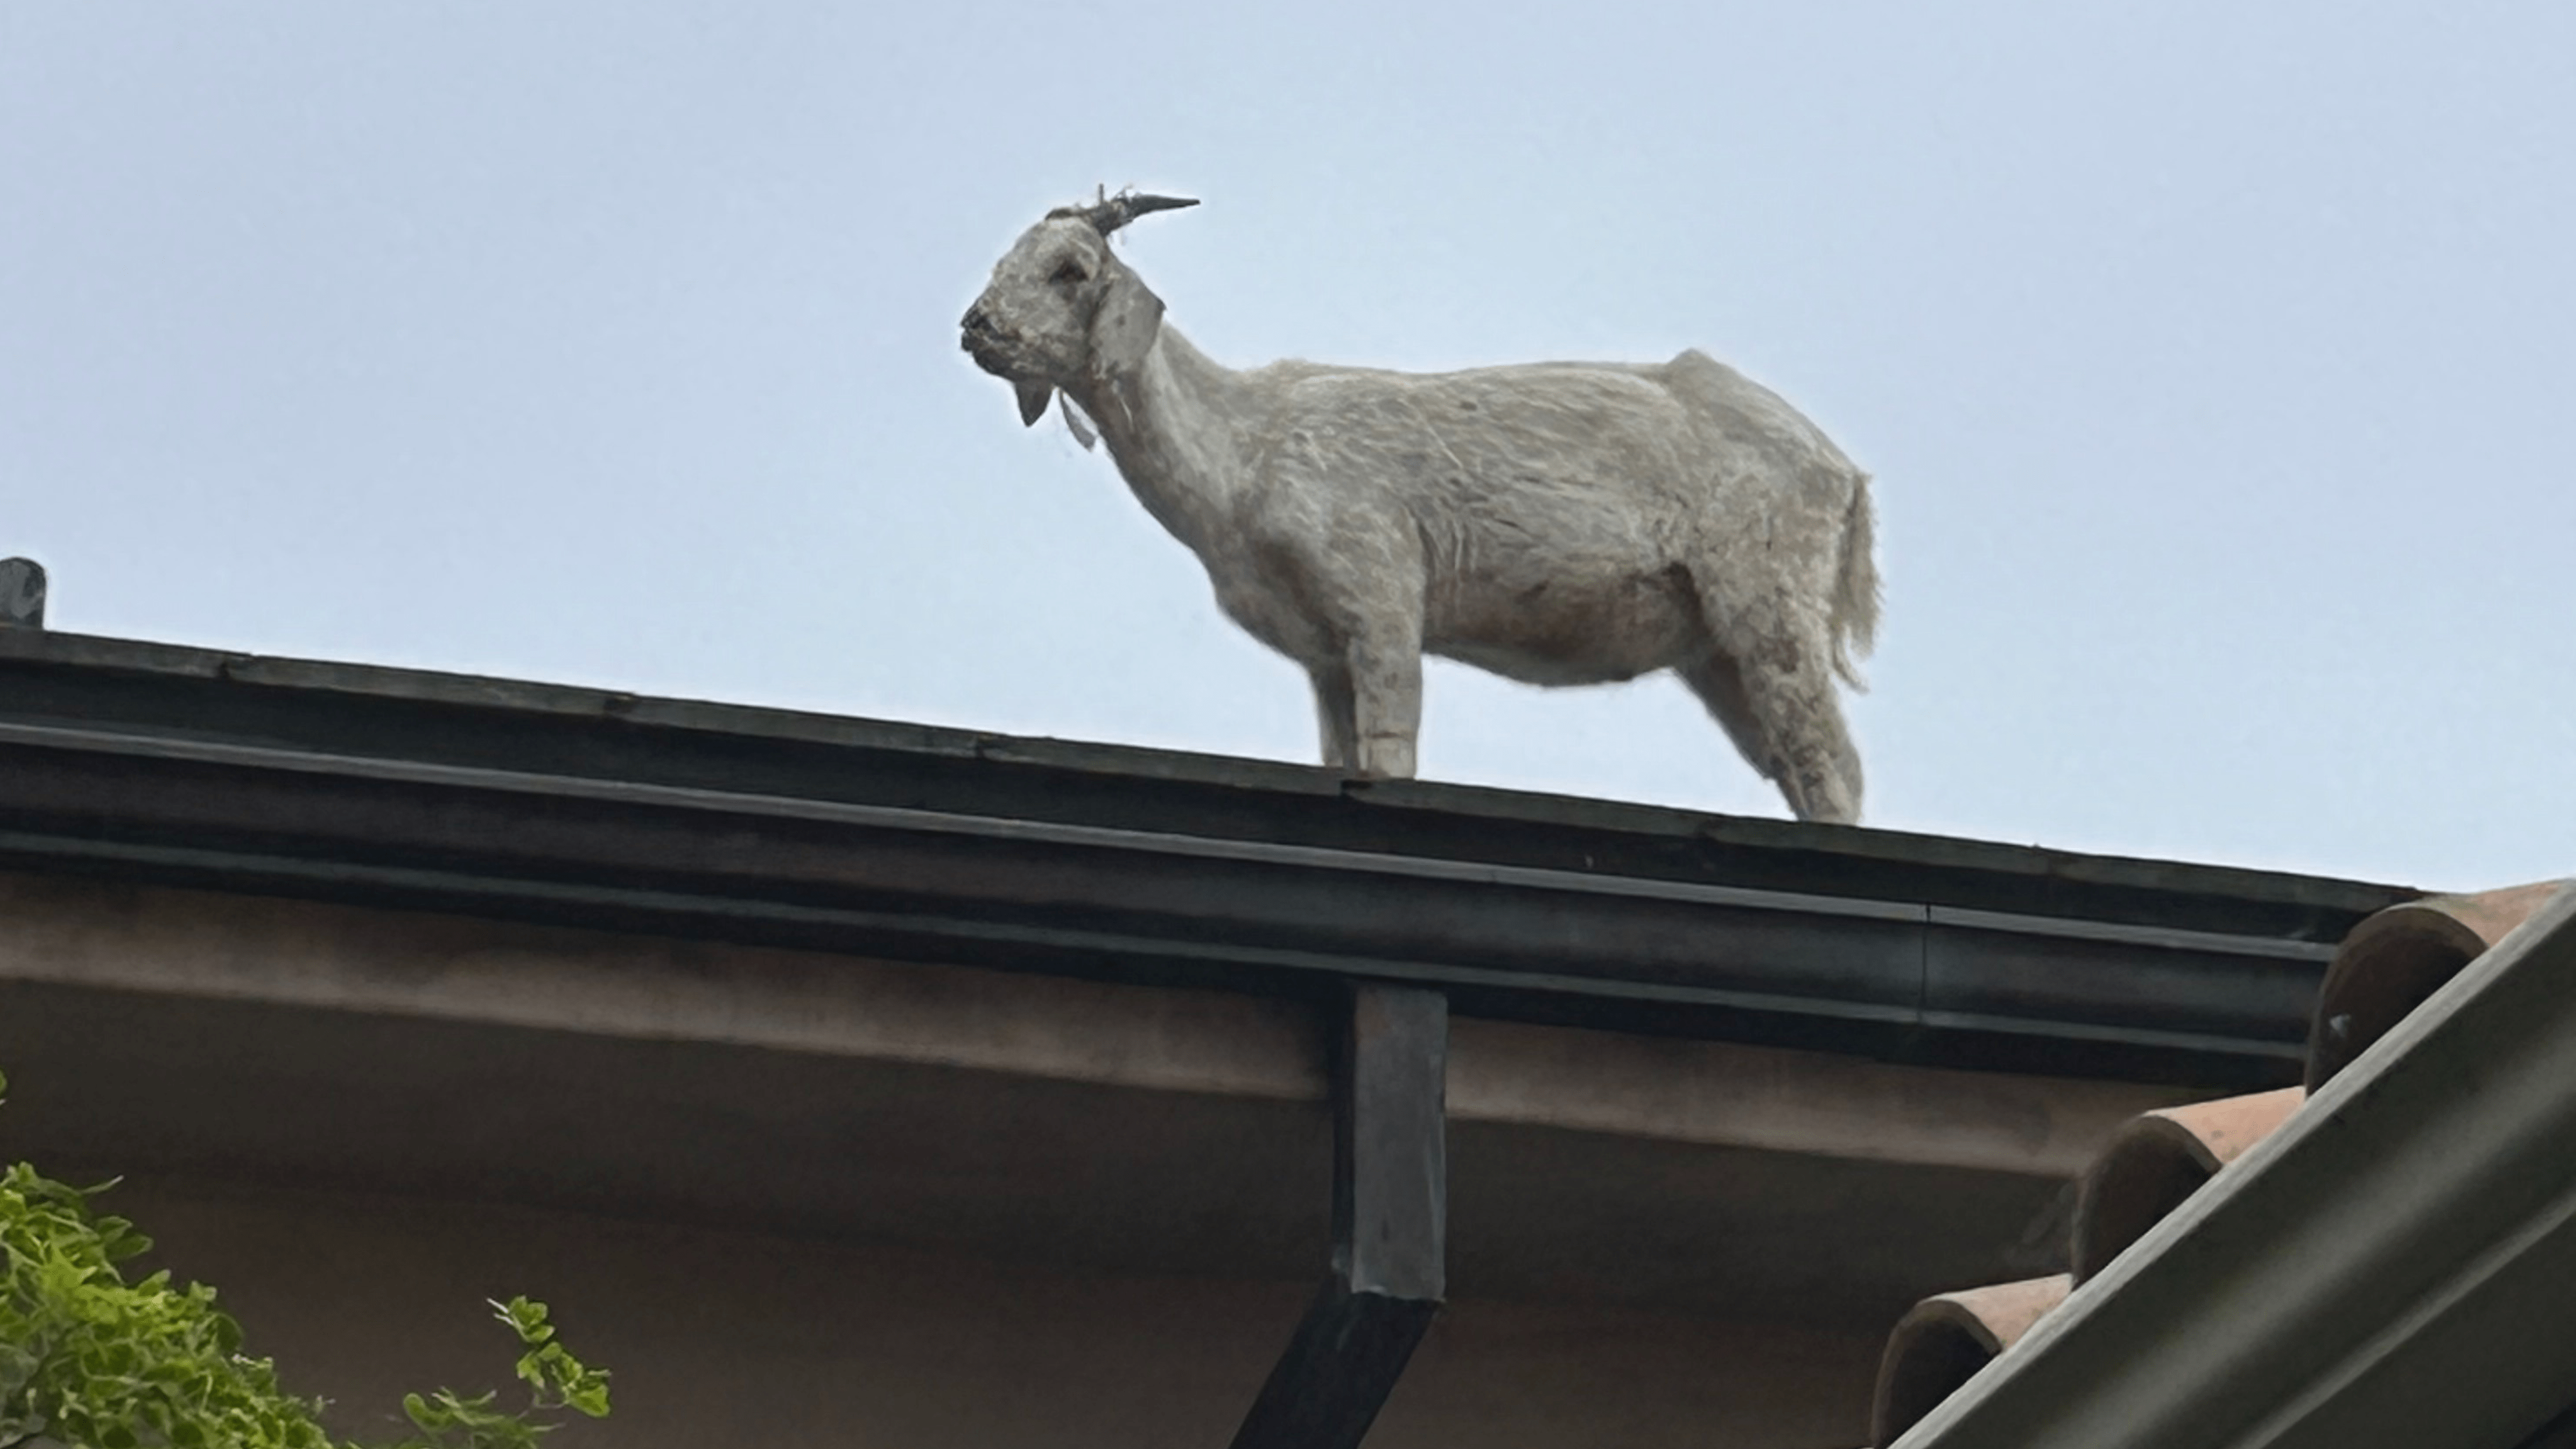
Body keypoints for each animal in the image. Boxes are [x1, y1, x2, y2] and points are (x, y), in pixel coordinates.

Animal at [960, 192, 1882, 823]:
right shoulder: (1324, 653)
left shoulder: (1380, 599)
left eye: (1070, 270)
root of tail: (1844, 473)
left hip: (1769, 594)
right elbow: (1343, 754)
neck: (1243, 449)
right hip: (1713, 648)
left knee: (1827, 757)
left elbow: (1390, 748)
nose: (977, 328)